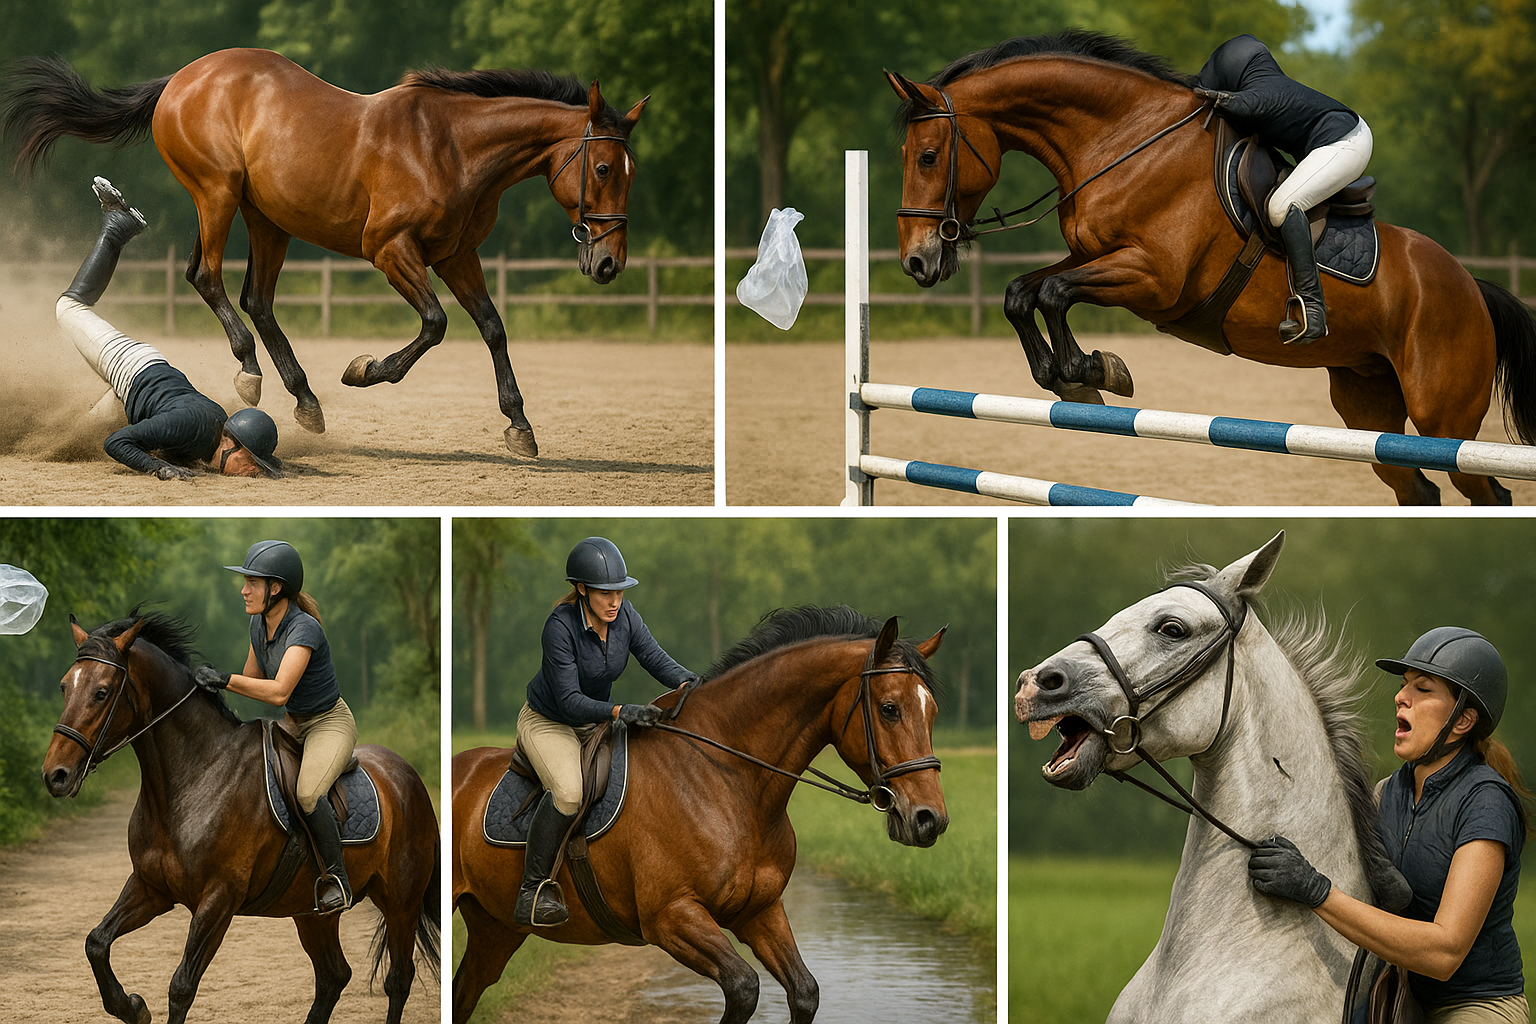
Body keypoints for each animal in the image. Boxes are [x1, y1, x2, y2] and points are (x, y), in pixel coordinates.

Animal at [3, 49, 648, 458]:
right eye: (603, 168)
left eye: (630, 171)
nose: (609, 264)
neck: (452, 148)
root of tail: (183, 79)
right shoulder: (391, 250)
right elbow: (436, 324)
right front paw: (364, 371)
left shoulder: (457, 255)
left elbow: (492, 327)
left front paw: (519, 426)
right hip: (217, 195)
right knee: (207, 277)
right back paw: (249, 372)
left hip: (266, 219)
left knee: (255, 299)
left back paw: (304, 398)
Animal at [41, 611, 440, 1024]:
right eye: (64, 687)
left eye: (102, 692)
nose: (56, 775)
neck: (194, 776)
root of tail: (408, 776)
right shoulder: (150, 888)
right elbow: (96, 943)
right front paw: (132, 1007)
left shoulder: (218, 900)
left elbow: (181, 987)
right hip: (313, 913)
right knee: (333, 976)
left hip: (401, 901)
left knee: (398, 978)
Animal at [452, 606, 949, 1024]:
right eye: (889, 709)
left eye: (932, 711)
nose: (930, 820)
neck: (733, 780)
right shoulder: (672, 917)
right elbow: (744, 987)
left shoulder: (759, 911)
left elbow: (804, 991)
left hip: (496, 929)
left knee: (465, 991)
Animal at [886, 30, 1536, 505]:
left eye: (928, 156)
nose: (917, 260)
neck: (1128, 141)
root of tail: (1469, 285)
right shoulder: (1097, 254)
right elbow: (1023, 291)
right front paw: (1068, 377)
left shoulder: (1154, 277)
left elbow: (1054, 293)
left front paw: (1091, 371)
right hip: (1367, 408)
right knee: (1416, 486)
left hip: (1443, 416)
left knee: (1488, 489)